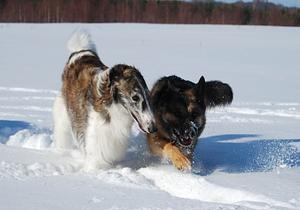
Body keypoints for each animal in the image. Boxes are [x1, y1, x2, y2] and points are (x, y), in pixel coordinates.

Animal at [53, 30, 156, 169]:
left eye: (148, 95)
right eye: (135, 97)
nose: (153, 128)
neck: (113, 105)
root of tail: (80, 51)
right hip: (64, 113)